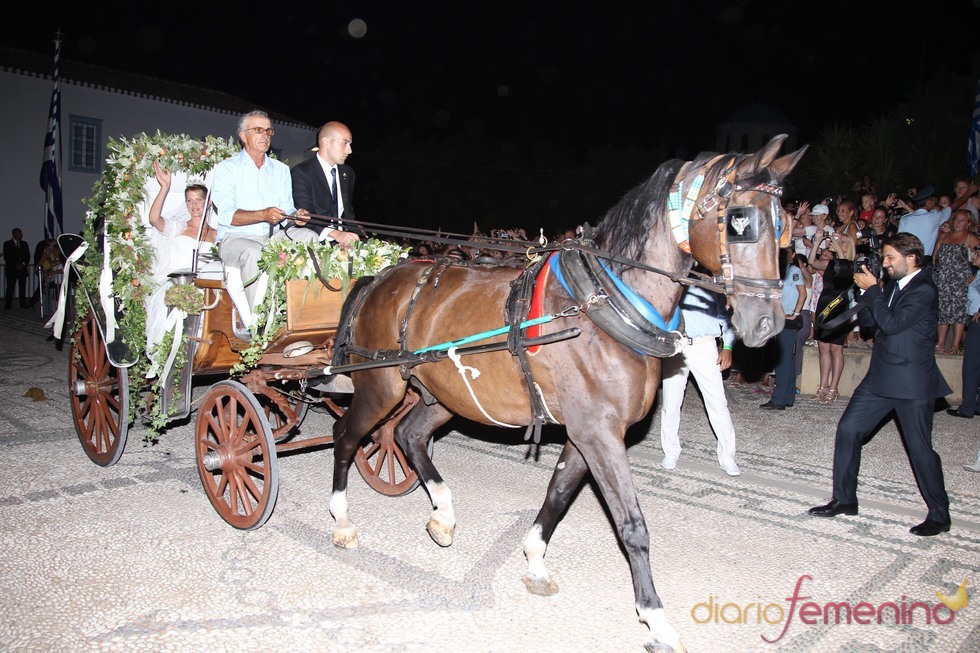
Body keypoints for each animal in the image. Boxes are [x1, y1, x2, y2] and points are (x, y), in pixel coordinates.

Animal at [328, 134, 806, 652]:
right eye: (741, 220)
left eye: (784, 227)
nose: (767, 323)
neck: (603, 305)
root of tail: (381, 278)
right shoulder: (599, 434)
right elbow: (632, 524)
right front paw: (656, 619)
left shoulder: (587, 433)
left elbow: (557, 496)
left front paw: (535, 562)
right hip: (382, 386)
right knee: (347, 436)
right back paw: (343, 522)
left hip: (442, 395)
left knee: (410, 436)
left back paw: (443, 515)